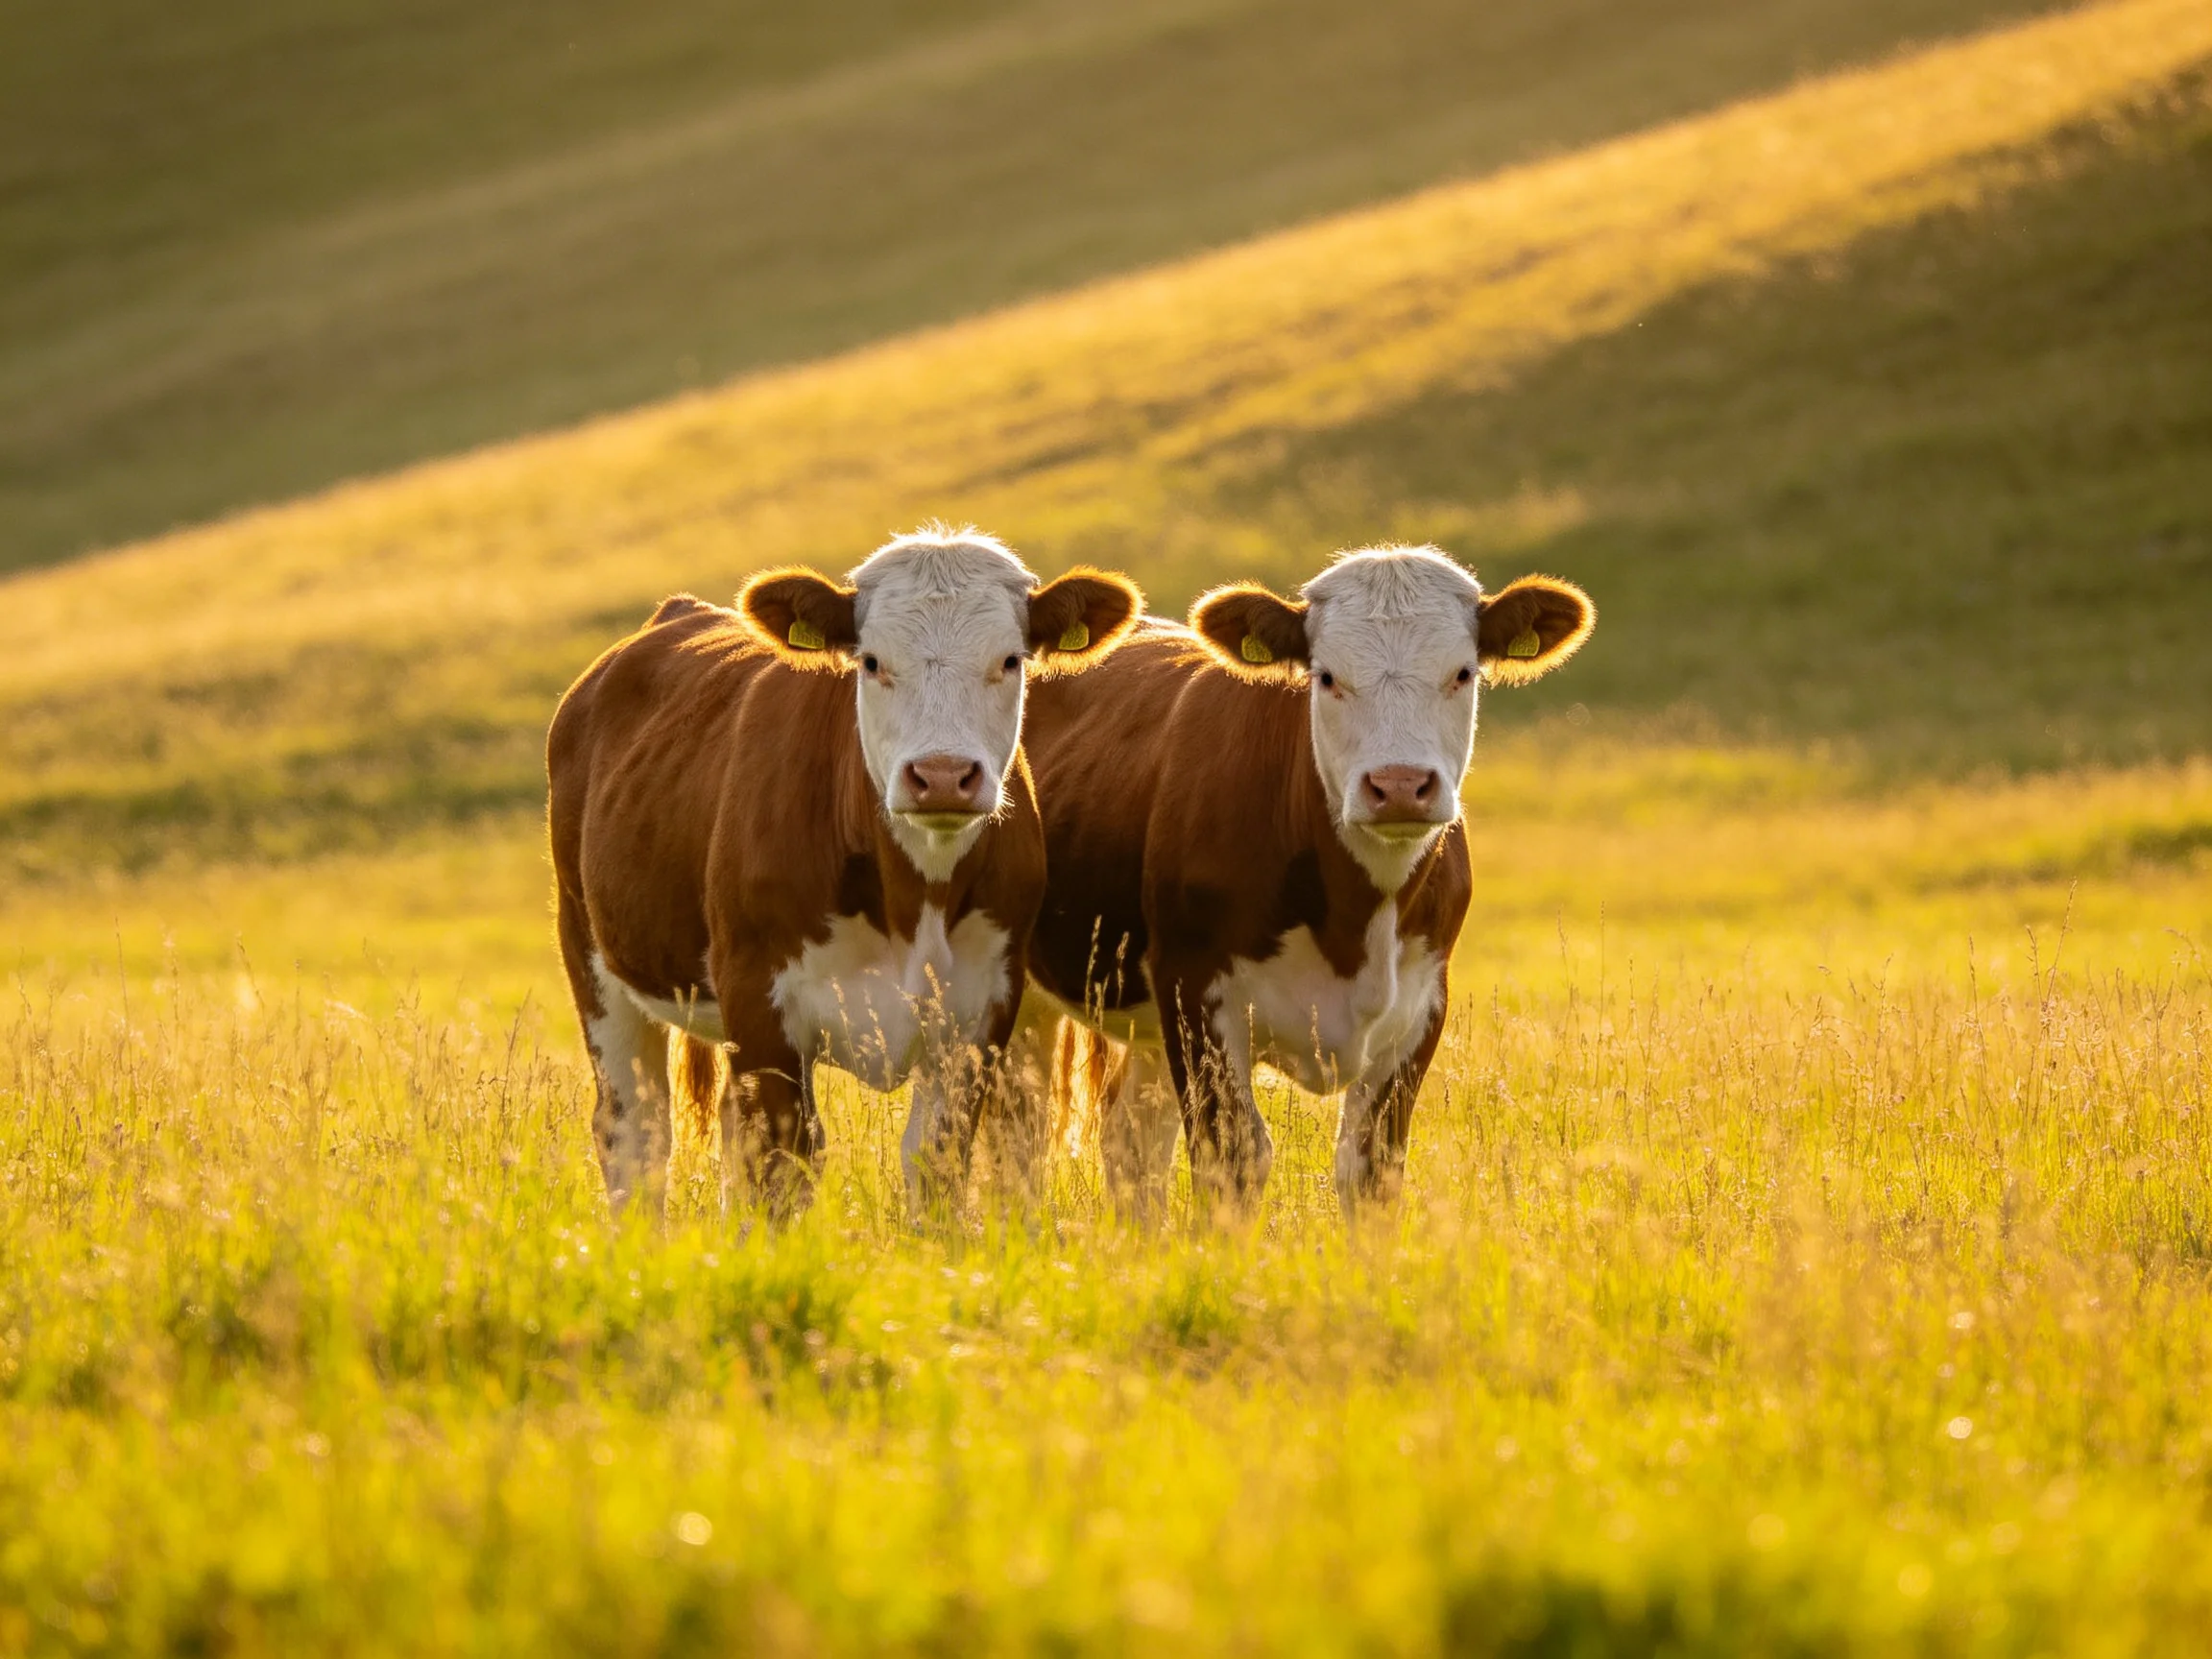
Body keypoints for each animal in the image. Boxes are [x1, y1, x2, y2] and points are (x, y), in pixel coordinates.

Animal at [546, 528, 1142, 1220]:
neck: (913, 898)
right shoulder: (760, 1002)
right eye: (873, 661)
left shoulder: (979, 1015)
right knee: (635, 1132)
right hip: (593, 956)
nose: (942, 775)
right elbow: (781, 1166)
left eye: (1011, 659)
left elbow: (935, 1162)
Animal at [1018, 544, 1593, 1217]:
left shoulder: (1421, 1007)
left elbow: (1371, 1170)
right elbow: (1234, 1158)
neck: (1354, 924)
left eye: (1462, 673)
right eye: (1326, 677)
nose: (1400, 785)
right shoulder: (1194, 990)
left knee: (1128, 1144)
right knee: (1017, 1129)